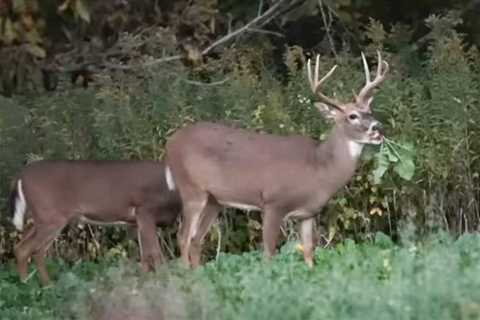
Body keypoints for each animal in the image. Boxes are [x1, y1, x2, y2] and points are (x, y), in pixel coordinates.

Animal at [9, 160, 182, 284]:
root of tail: (20, 176)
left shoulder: (136, 221)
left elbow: (144, 255)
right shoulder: (145, 211)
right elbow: (155, 253)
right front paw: (164, 282)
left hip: (41, 218)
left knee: (23, 248)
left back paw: (32, 284)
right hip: (51, 217)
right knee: (31, 250)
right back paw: (39, 285)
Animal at [166, 50, 390, 268]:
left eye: (369, 111)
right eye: (352, 116)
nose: (378, 127)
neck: (319, 167)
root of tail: (170, 143)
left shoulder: (308, 213)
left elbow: (308, 252)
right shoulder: (273, 202)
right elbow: (268, 253)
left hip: (214, 200)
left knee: (196, 239)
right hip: (191, 189)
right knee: (183, 237)